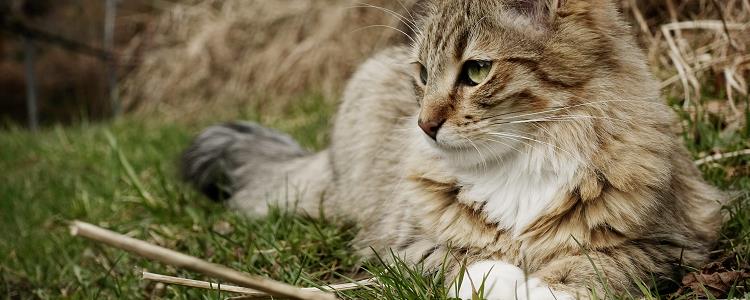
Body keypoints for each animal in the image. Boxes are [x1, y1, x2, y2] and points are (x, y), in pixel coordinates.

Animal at [179, 0, 724, 298]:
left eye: (477, 71)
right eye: (423, 74)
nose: (424, 125)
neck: (527, 152)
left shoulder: (669, 243)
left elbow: (595, 264)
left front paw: (543, 288)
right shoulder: (401, 245)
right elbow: (470, 258)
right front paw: (501, 283)